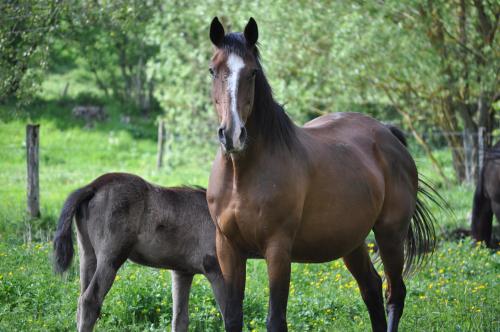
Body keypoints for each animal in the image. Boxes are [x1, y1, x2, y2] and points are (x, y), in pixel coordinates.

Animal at [52, 174, 225, 332]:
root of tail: (93, 186)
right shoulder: (217, 270)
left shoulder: (182, 272)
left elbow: (180, 319)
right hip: (111, 259)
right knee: (90, 300)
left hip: (87, 254)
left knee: (80, 301)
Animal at [205, 18, 440, 332]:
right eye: (213, 70)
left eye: (252, 72)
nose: (232, 134)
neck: (240, 177)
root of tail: (387, 135)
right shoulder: (228, 248)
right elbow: (232, 317)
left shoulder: (278, 249)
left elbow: (275, 319)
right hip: (352, 242)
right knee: (372, 288)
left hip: (390, 235)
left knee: (395, 293)